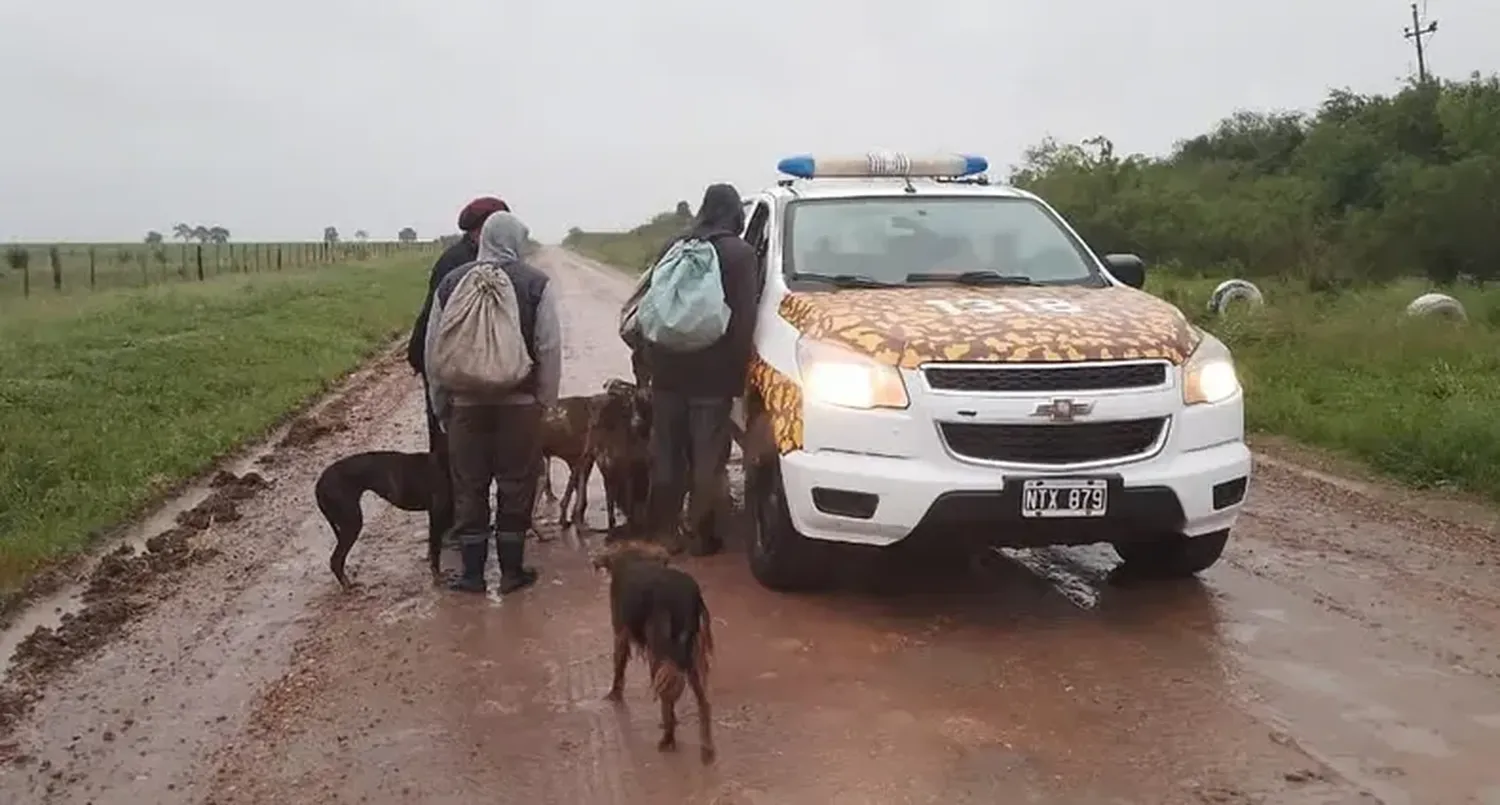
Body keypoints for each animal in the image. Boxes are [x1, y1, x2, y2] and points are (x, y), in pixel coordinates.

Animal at [319, 449, 447, 587]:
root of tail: (319, 485)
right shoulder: (437, 513)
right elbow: (435, 551)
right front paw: (437, 579)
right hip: (352, 523)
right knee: (336, 560)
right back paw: (348, 586)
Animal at [591, 539, 714, 758]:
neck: (632, 557)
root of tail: (688, 594)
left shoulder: (620, 632)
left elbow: (618, 665)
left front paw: (614, 694)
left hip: (662, 649)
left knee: (669, 692)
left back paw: (668, 737)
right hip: (691, 653)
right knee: (702, 701)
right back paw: (705, 746)